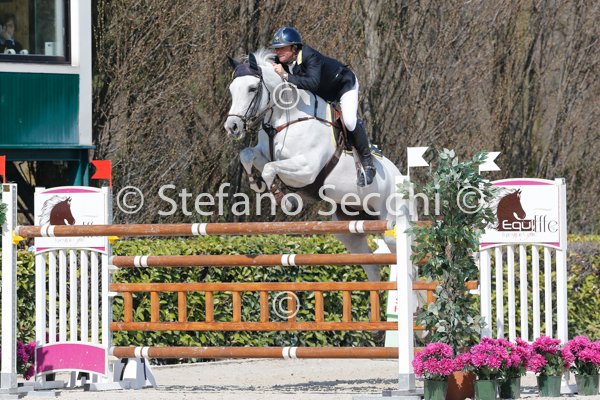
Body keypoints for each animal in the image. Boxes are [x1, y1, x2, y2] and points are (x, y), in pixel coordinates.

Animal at [224, 49, 406, 282]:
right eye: (232, 89)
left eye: (252, 88)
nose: (232, 127)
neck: (285, 117)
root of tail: (402, 177)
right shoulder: (267, 155)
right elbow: (247, 155)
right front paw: (256, 183)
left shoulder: (307, 169)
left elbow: (269, 169)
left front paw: (287, 201)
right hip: (350, 229)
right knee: (372, 266)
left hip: (391, 224)